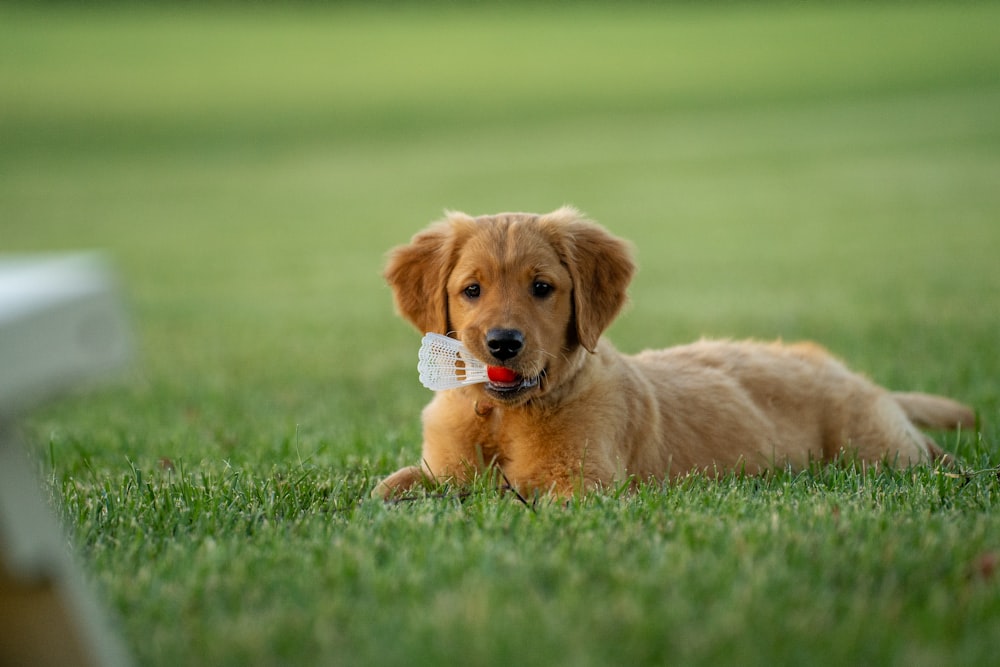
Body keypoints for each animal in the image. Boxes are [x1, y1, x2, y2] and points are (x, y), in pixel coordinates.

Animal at [372, 206, 972, 498]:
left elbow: (510, 499)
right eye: (471, 290)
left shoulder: (583, 488)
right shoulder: (442, 467)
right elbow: (390, 488)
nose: (503, 342)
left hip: (874, 450)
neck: (502, 415)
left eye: (542, 288)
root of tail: (858, 377)